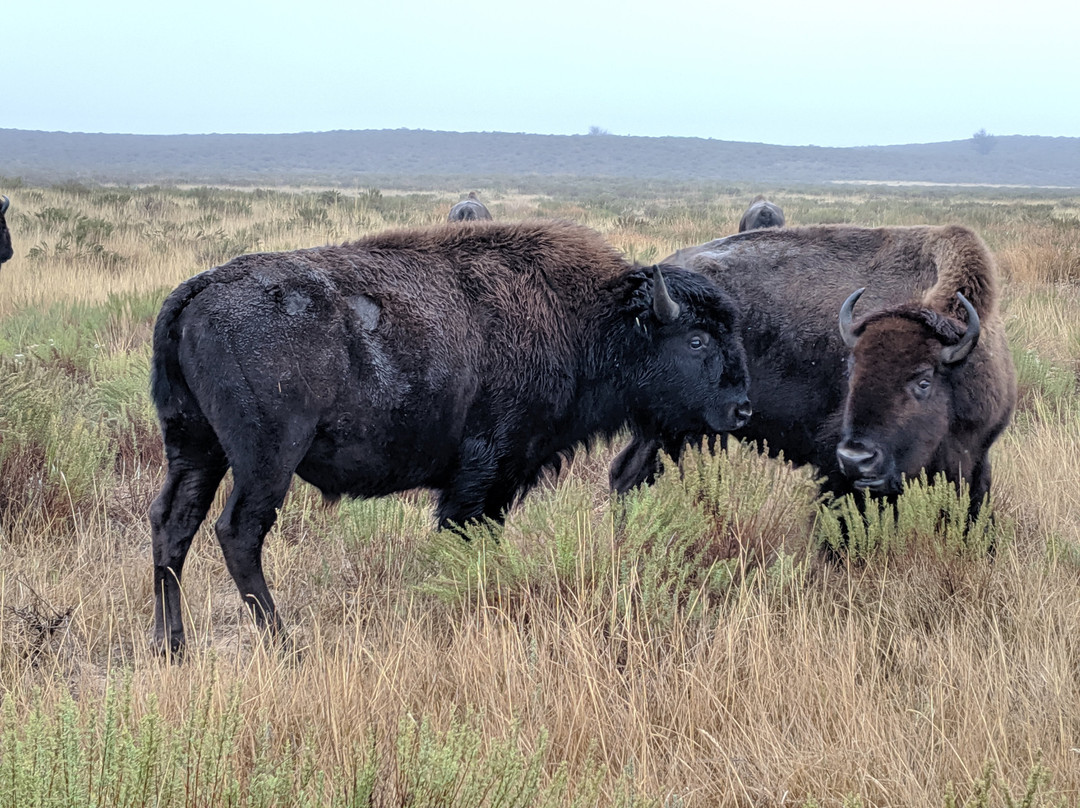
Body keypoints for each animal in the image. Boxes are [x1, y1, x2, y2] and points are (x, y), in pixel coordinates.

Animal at [150, 219, 751, 653]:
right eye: (697, 339)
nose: (741, 409)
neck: (587, 318)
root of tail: (198, 289)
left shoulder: (498, 481)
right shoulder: (484, 473)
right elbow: (464, 534)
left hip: (194, 447)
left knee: (172, 524)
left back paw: (171, 647)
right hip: (266, 460)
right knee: (238, 532)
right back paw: (284, 645)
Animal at [611, 224, 1017, 522]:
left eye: (923, 380)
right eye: (850, 371)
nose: (857, 458)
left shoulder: (974, 461)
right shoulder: (835, 464)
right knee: (627, 474)